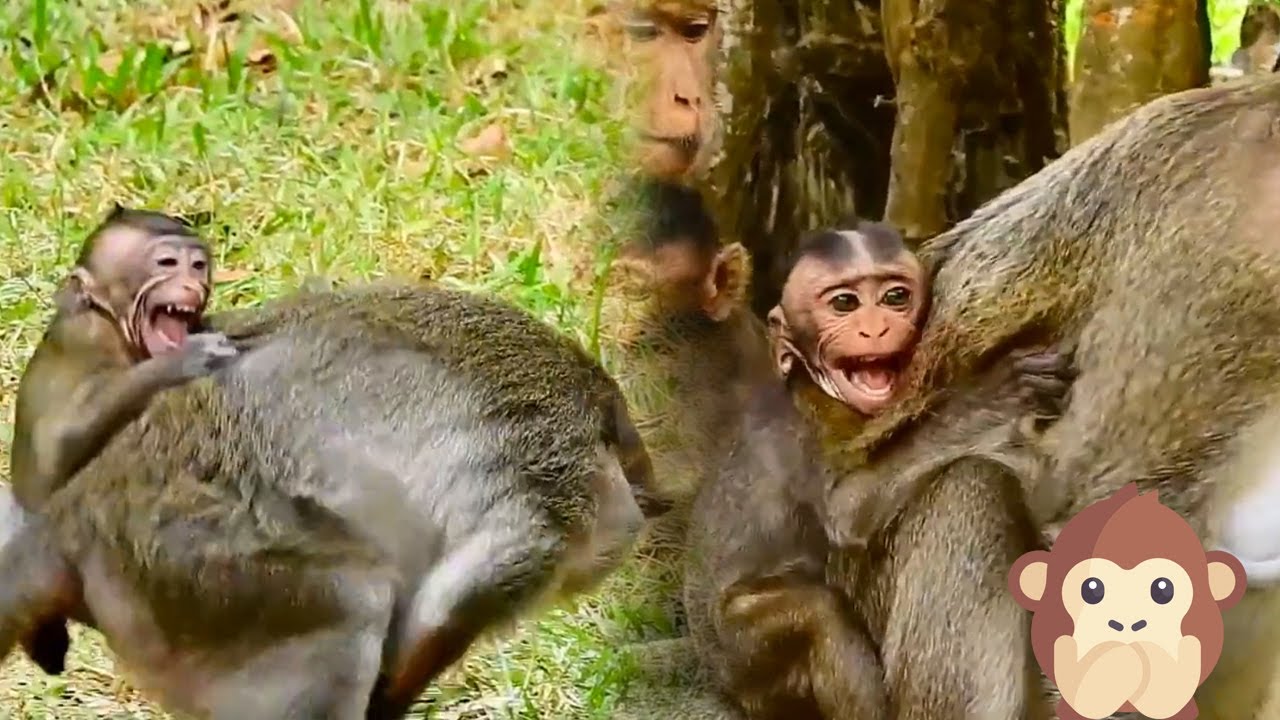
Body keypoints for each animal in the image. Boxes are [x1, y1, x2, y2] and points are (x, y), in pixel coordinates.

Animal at [0, 281, 667, 719]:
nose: (649, 503)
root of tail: (72, 511)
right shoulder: (549, 501)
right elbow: (445, 611)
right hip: (193, 566)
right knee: (353, 599)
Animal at [6, 205, 238, 677]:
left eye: (197, 265)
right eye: (167, 263)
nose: (192, 281)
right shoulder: (87, 340)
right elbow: (58, 444)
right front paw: (185, 362)